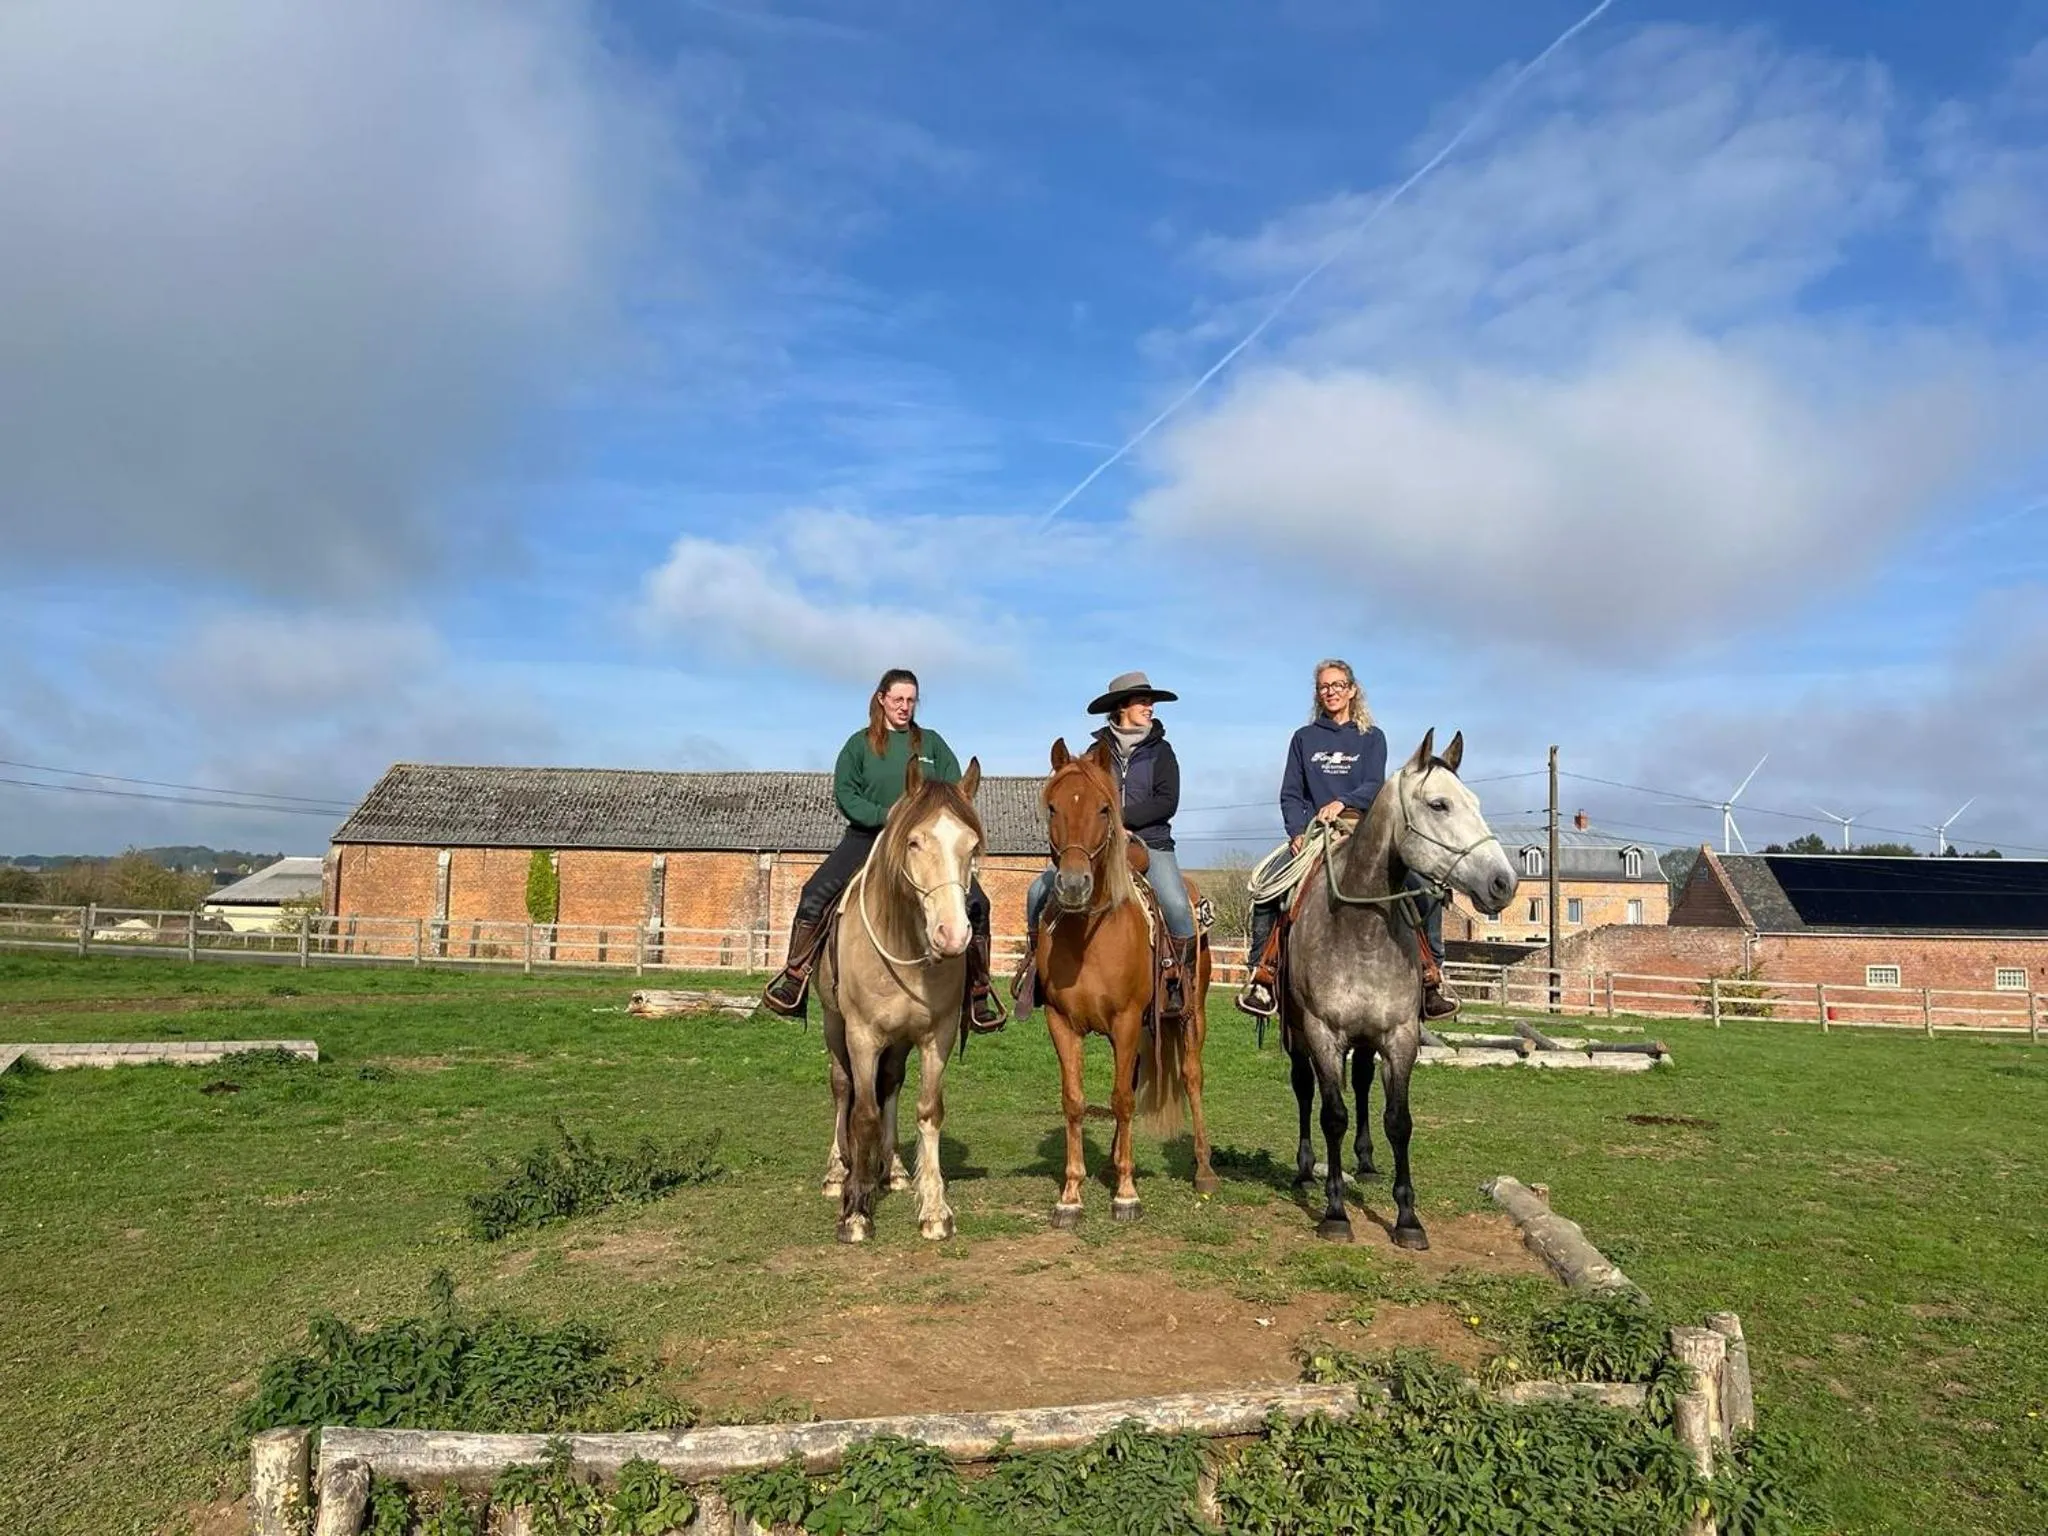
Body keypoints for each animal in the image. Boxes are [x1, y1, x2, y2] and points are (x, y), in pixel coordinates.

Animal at [816, 754, 986, 1244]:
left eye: (972, 845)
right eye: (913, 841)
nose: (952, 935)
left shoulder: (935, 1037)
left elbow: (927, 1111)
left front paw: (934, 1208)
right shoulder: (861, 1035)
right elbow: (863, 1114)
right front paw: (856, 1211)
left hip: (900, 1041)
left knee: (890, 1085)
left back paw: (889, 1170)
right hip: (833, 1026)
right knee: (842, 1088)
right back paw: (837, 1172)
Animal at [1035, 737, 1217, 1228]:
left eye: (1103, 808)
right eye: (1053, 806)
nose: (1073, 885)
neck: (1090, 935)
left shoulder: (1127, 1020)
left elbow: (1122, 1100)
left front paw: (1126, 1194)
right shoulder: (1061, 1023)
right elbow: (1075, 1100)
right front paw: (1071, 1195)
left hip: (1191, 1014)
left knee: (1191, 1076)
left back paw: (1204, 1169)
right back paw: (1115, 1158)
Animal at [1282, 729, 1517, 1248]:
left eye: (1475, 802)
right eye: (1438, 804)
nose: (1503, 882)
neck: (1361, 930)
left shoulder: (1400, 1036)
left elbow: (1399, 1120)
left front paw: (1408, 1218)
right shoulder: (1323, 1033)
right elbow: (1332, 1114)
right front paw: (1334, 1212)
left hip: (1368, 1038)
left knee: (1362, 1082)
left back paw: (1367, 1163)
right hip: (1296, 1033)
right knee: (1304, 1089)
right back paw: (1305, 1170)